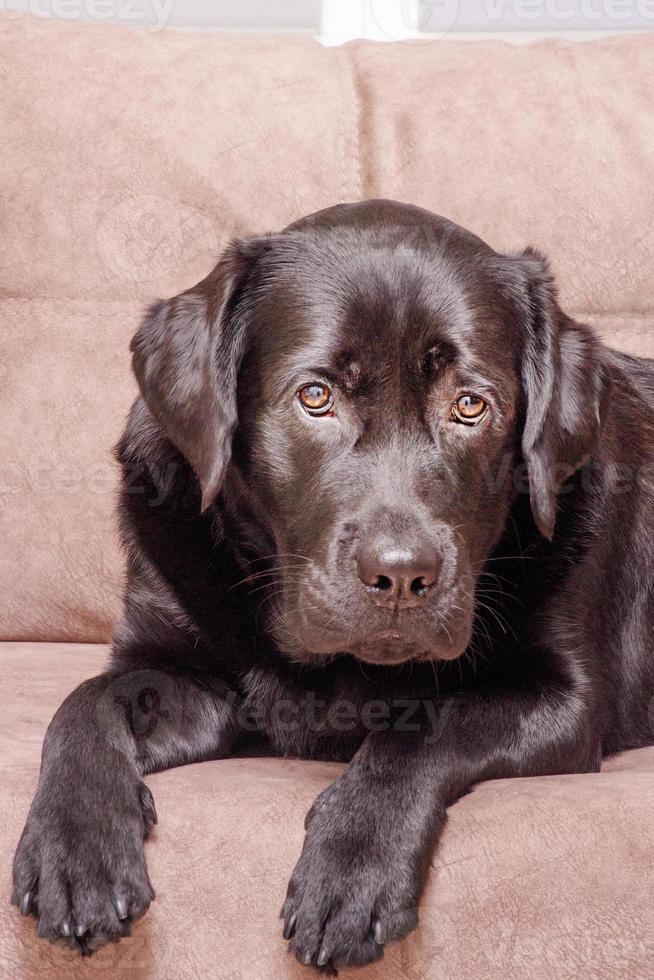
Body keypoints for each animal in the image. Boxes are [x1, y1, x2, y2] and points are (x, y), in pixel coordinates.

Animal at [11, 201, 654, 972]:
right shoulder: (185, 675)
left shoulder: (567, 701)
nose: (402, 575)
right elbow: (85, 703)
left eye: (471, 406)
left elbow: (429, 725)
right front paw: (73, 851)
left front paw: (353, 866)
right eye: (315, 397)